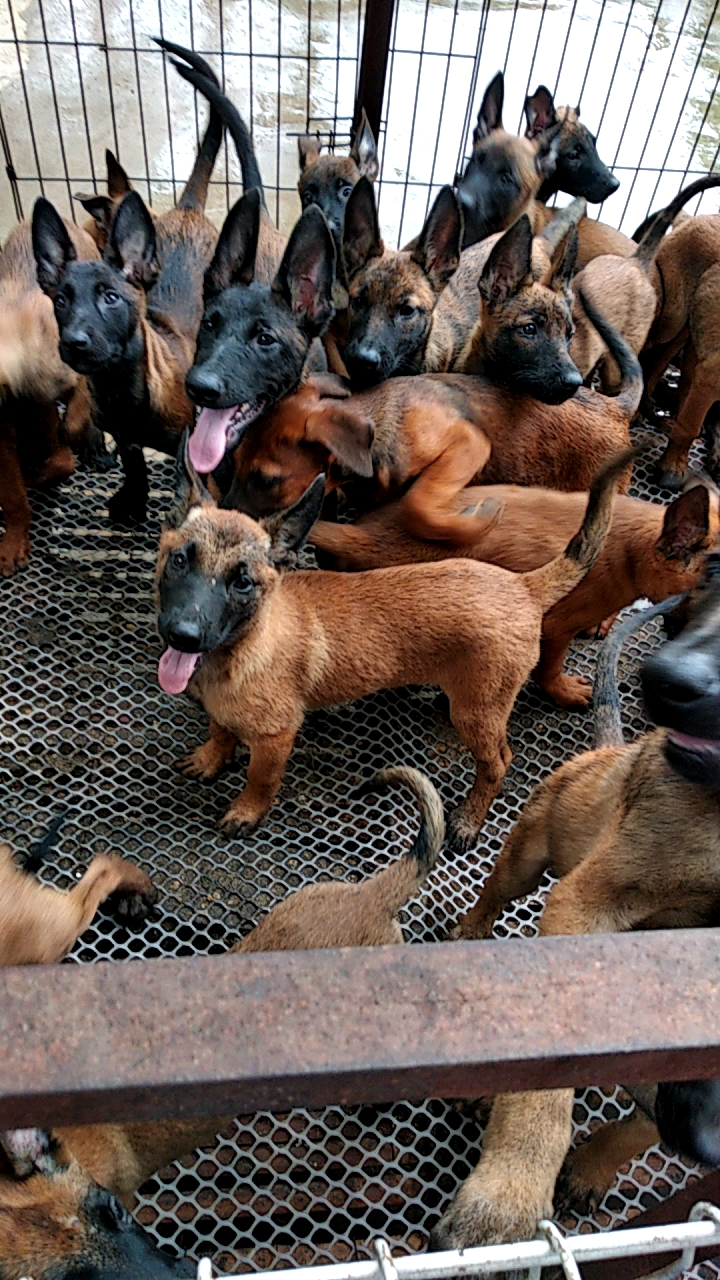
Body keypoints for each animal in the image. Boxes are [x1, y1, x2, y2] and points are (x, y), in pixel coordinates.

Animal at [155, 437, 627, 849]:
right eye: (179, 561)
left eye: (243, 583)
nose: (183, 635)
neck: (245, 646)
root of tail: (524, 586)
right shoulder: (222, 709)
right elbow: (220, 730)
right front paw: (211, 758)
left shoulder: (276, 737)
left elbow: (260, 779)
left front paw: (247, 811)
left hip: (477, 712)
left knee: (498, 763)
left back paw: (469, 819)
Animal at [224, 299, 638, 529]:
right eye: (235, 461)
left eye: (266, 480)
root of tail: (614, 407)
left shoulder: (469, 444)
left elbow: (417, 502)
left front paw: (477, 523)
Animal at [427, 593, 717, 1254]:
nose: (673, 683)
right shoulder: (588, 903)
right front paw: (504, 1198)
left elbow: (640, 1123)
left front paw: (591, 1168)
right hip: (530, 853)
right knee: (492, 900)